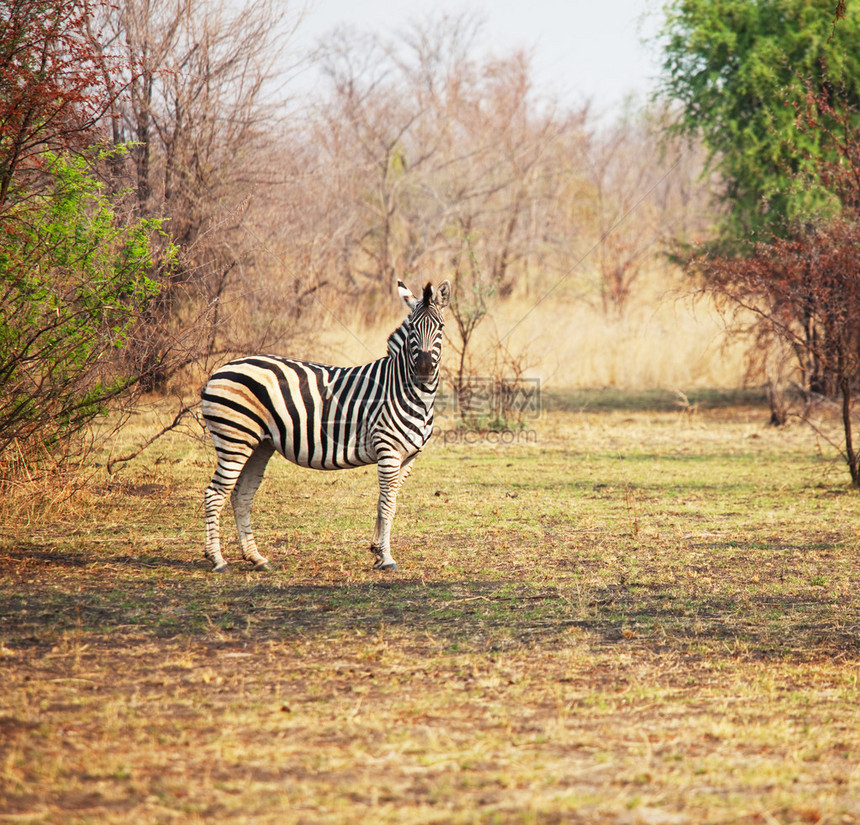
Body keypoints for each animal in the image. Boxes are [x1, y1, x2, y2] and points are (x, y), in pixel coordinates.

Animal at [199, 276, 454, 572]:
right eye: (413, 327)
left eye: (441, 327)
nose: (424, 369)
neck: (409, 390)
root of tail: (219, 370)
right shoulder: (388, 451)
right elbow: (388, 504)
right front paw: (387, 558)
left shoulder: (408, 457)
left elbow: (384, 502)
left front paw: (377, 552)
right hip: (234, 439)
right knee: (214, 494)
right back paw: (218, 560)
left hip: (259, 444)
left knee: (241, 495)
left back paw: (256, 558)